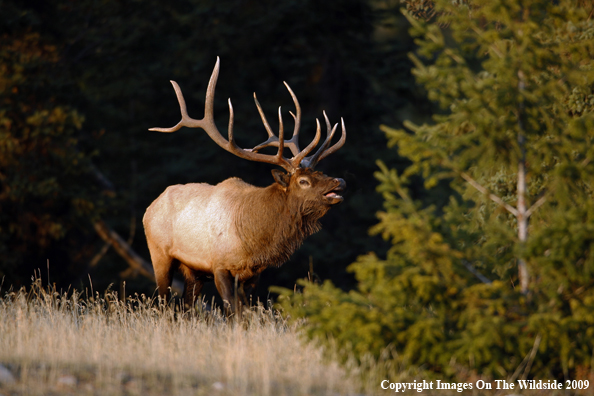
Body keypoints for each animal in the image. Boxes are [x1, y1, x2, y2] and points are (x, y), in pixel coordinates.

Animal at [143, 58, 344, 312]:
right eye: (303, 181)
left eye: (321, 172)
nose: (339, 181)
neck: (254, 242)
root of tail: (150, 207)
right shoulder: (219, 265)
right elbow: (233, 312)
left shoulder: (254, 273)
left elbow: (247, 313)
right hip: (159, 253)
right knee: (163, 303)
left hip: (193, 271)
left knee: (186, 307)